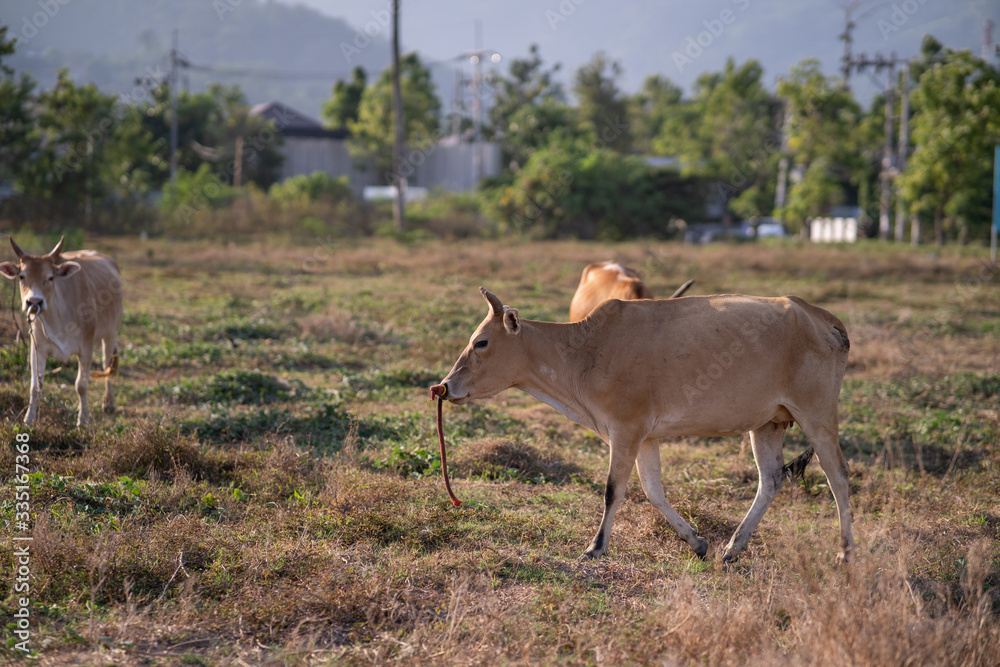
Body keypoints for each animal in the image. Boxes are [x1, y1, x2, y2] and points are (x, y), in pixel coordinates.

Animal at [0, 236, 123, 426]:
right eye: (22, 277)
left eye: (50, 278)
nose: (34, 302)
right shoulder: (37, 348)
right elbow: (35, 386)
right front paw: (29, 419)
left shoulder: (86, 347)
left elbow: (81, 385)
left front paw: (83, 420)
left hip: (111, 334)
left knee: (106, 365)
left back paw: (108, 403)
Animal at [433, 287, 854, 564]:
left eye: (481, 342)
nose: (444, 386)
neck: (583, 352)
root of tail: (819, 315)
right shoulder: (646, 437)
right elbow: (653, 491)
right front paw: (696, 541)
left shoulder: (626, 430)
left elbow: (613, 491)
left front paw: (596, 547)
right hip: (767, 424)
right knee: (771, 480)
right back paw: (732, 548)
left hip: (817, 414)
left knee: (837, 476)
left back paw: (845, 552)